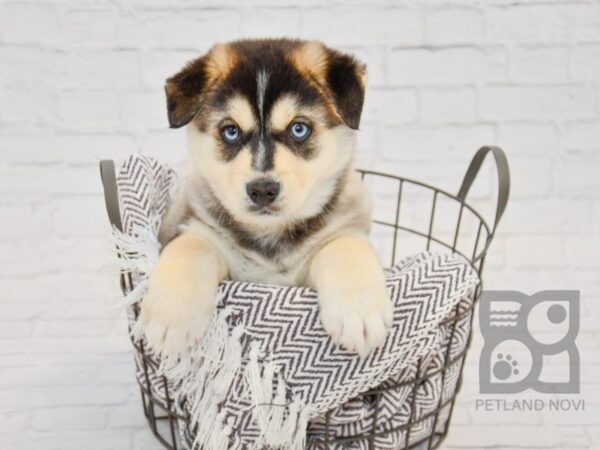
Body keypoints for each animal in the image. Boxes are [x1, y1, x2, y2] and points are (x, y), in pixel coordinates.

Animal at [141, 39, 394, 358]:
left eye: (299, 129)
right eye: (231, 131)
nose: (262, 190)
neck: (270, 236)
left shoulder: (345, 228)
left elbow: (344, 247)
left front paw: (359, 311)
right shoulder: (198, 228)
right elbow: (191, 248)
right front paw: (171, 315)